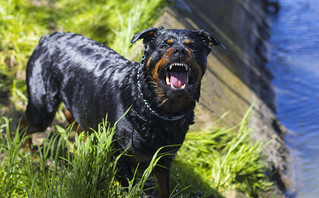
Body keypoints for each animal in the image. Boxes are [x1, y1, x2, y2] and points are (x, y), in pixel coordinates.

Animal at [23, 27, 225, 197]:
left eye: (194, 47)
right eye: (163, 45)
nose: (181, 51)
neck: (158, 111)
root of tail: (48, 37)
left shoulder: (164, 160)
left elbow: (164, 189)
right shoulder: (120, 158)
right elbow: (134, 189)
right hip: (43, 107)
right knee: (25, 125)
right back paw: (27, 152)